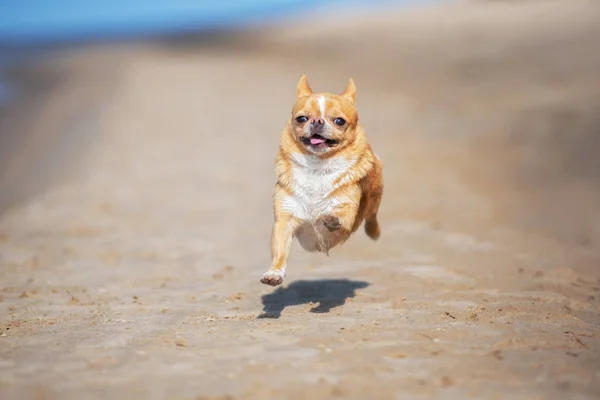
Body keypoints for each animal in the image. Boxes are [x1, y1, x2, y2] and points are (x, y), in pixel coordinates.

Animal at [258, 75, 382, 286]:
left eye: (339, 121)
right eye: (301, 118)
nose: (317, 121)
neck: (318, 167)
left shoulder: (346, 213)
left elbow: (340, 217)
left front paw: (332, 219)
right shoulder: (284, 220)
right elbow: (279, 251)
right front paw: (274, 273)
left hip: (376, 192)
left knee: (372, 215)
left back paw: (374, 231)